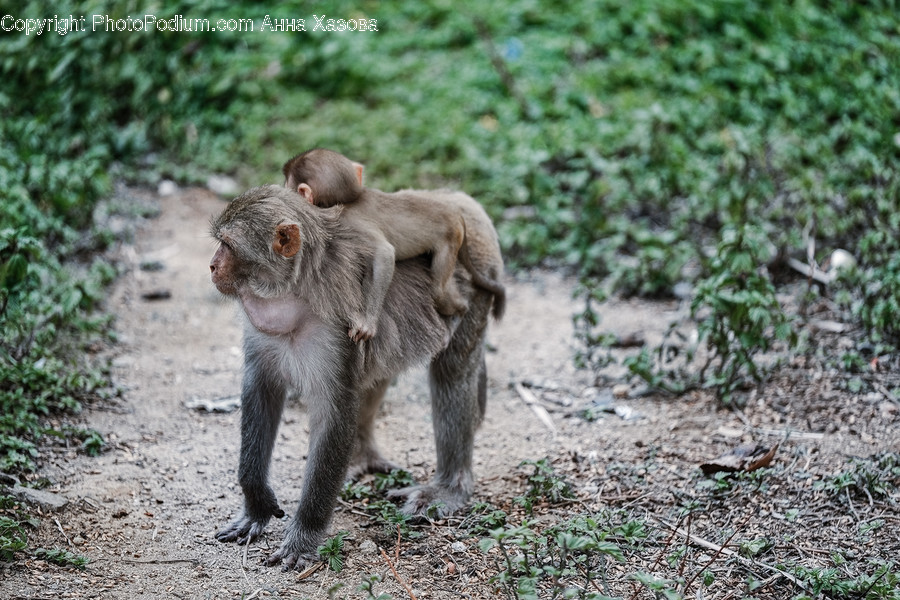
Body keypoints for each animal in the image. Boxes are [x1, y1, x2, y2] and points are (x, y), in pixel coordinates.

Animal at [209, 185, 504, 571]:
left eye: (227, 245)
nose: (212, 265)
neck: (294, 294)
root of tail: (459, 200)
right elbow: (261, 392)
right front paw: (256, 502)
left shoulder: (338, 331)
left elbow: (334, 412)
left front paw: (304, 536)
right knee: (377, 375)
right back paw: (361, 457)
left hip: (477, 284)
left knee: (452, 371)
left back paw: (448, 488)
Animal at [282, 148, 505, 343]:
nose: (283, 187)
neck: (345, 203)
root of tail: (456, 215)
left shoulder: (348, 223)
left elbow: (384, 254)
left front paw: (368, 322)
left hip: (450, 240)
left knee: (439, 292)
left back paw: (460, 312)